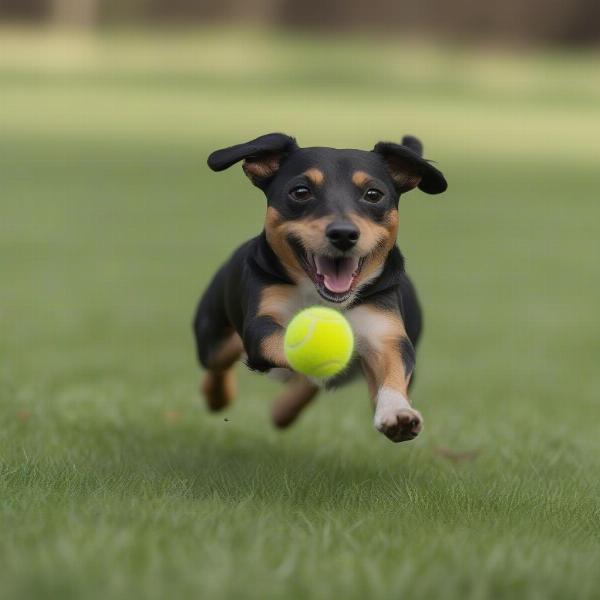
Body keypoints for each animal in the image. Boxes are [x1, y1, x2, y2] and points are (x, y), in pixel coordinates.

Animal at [192, 132, 446, 440]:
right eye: (301, 191)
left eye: (373, 194)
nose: (343, 234)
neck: (322, 298)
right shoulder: (261, 320)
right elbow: (280, 343)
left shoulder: (384, 332)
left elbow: (393, 372)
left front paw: (397, 413)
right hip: (212, 334)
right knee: (221, 359)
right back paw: (218, 397)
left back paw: (283, 410)